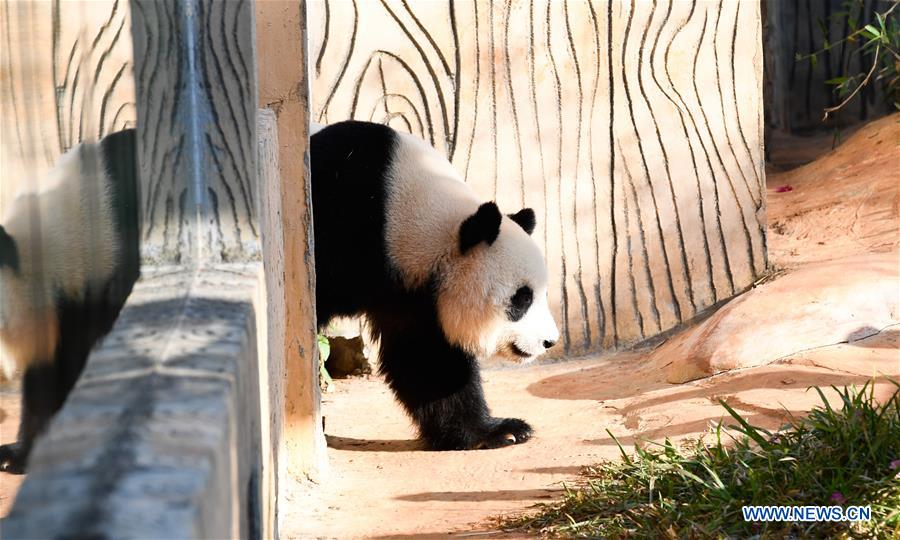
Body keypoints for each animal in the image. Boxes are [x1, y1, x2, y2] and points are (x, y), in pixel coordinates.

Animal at [311, 120, 559, 450]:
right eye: (522, 298)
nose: (548, 341)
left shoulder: (409, 295)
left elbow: (430, 361)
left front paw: (498, 431)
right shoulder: (337, 228)